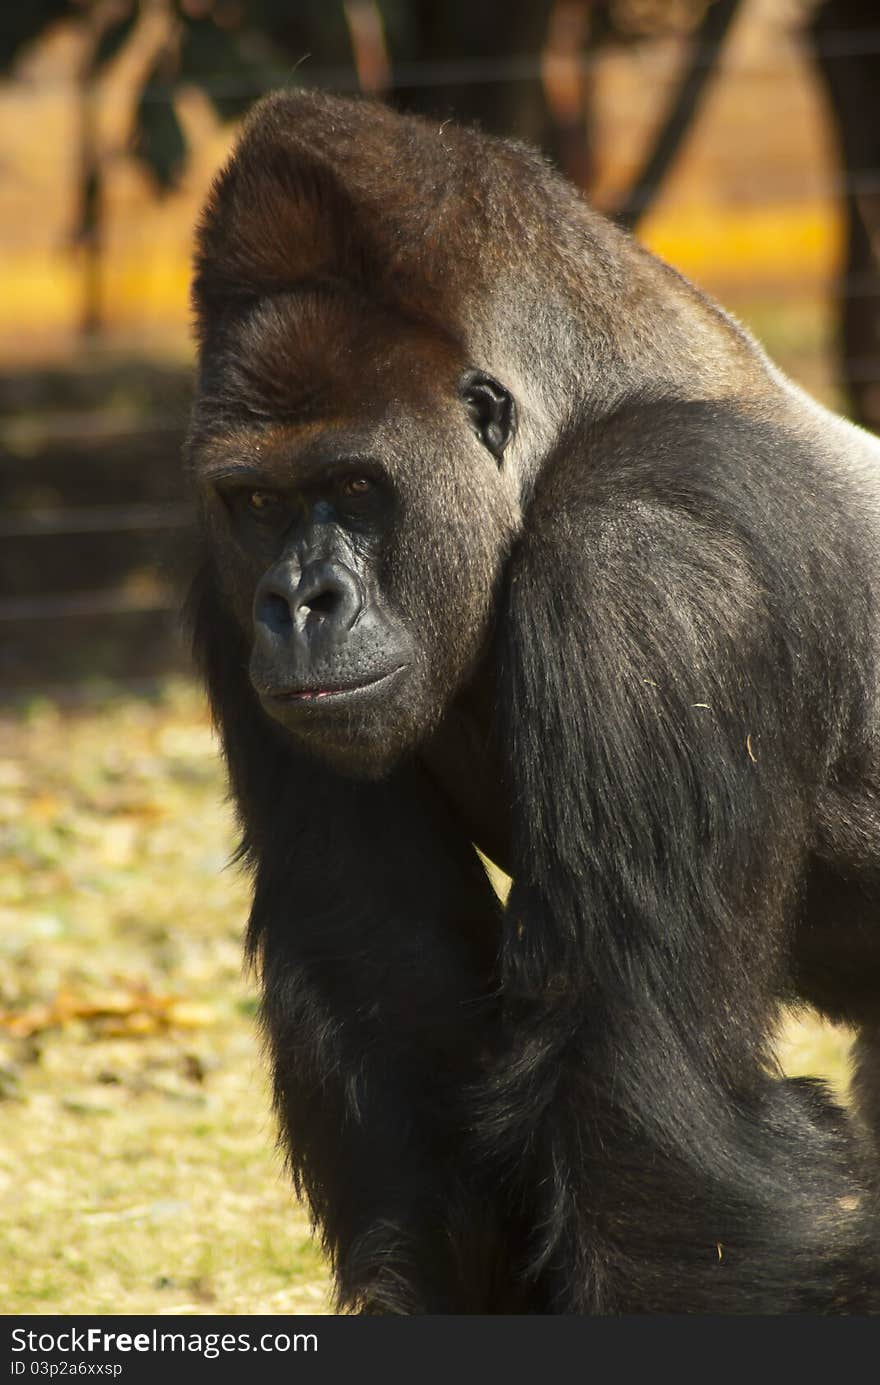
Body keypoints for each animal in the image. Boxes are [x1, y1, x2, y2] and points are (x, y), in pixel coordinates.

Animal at [187, 89, 880, 1307]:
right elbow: (398, 998)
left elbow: (648, 1108)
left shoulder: (643, 558)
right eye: (260, 501)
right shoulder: (222, 584)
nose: (299, 603)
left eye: (355, 489)